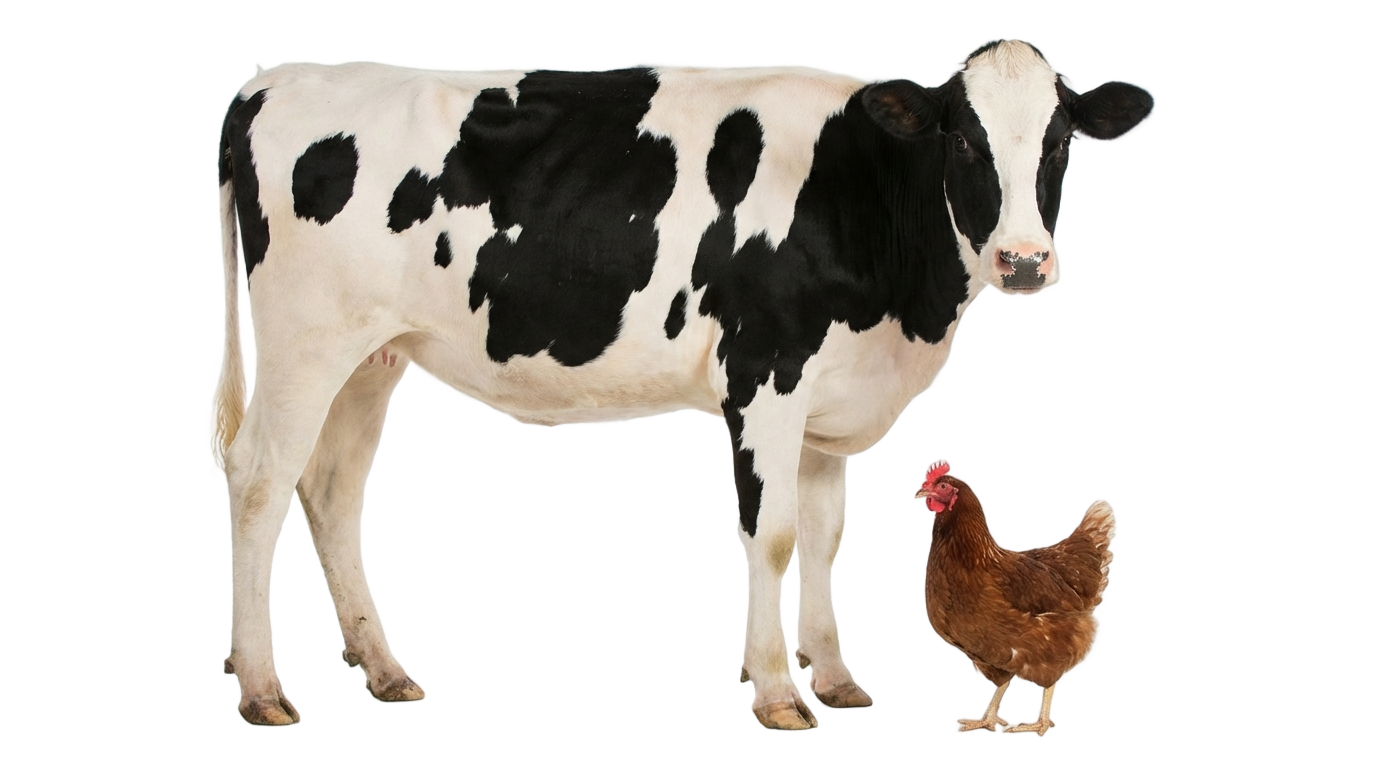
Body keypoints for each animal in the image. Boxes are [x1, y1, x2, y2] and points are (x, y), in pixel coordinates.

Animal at [211, 38, 1151, 729]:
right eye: (962, 139)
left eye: (1061, 141)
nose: (1023, 260)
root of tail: (267, 87)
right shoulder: (765, 376)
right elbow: (774, 538)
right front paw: (776, 693)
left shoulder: (827, 403)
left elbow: (824, 537)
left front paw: (835, 678)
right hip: (301, 347)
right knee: (257, 489)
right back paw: (261, 689)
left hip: (371, 355)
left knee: (329, 491)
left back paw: (382, 670)